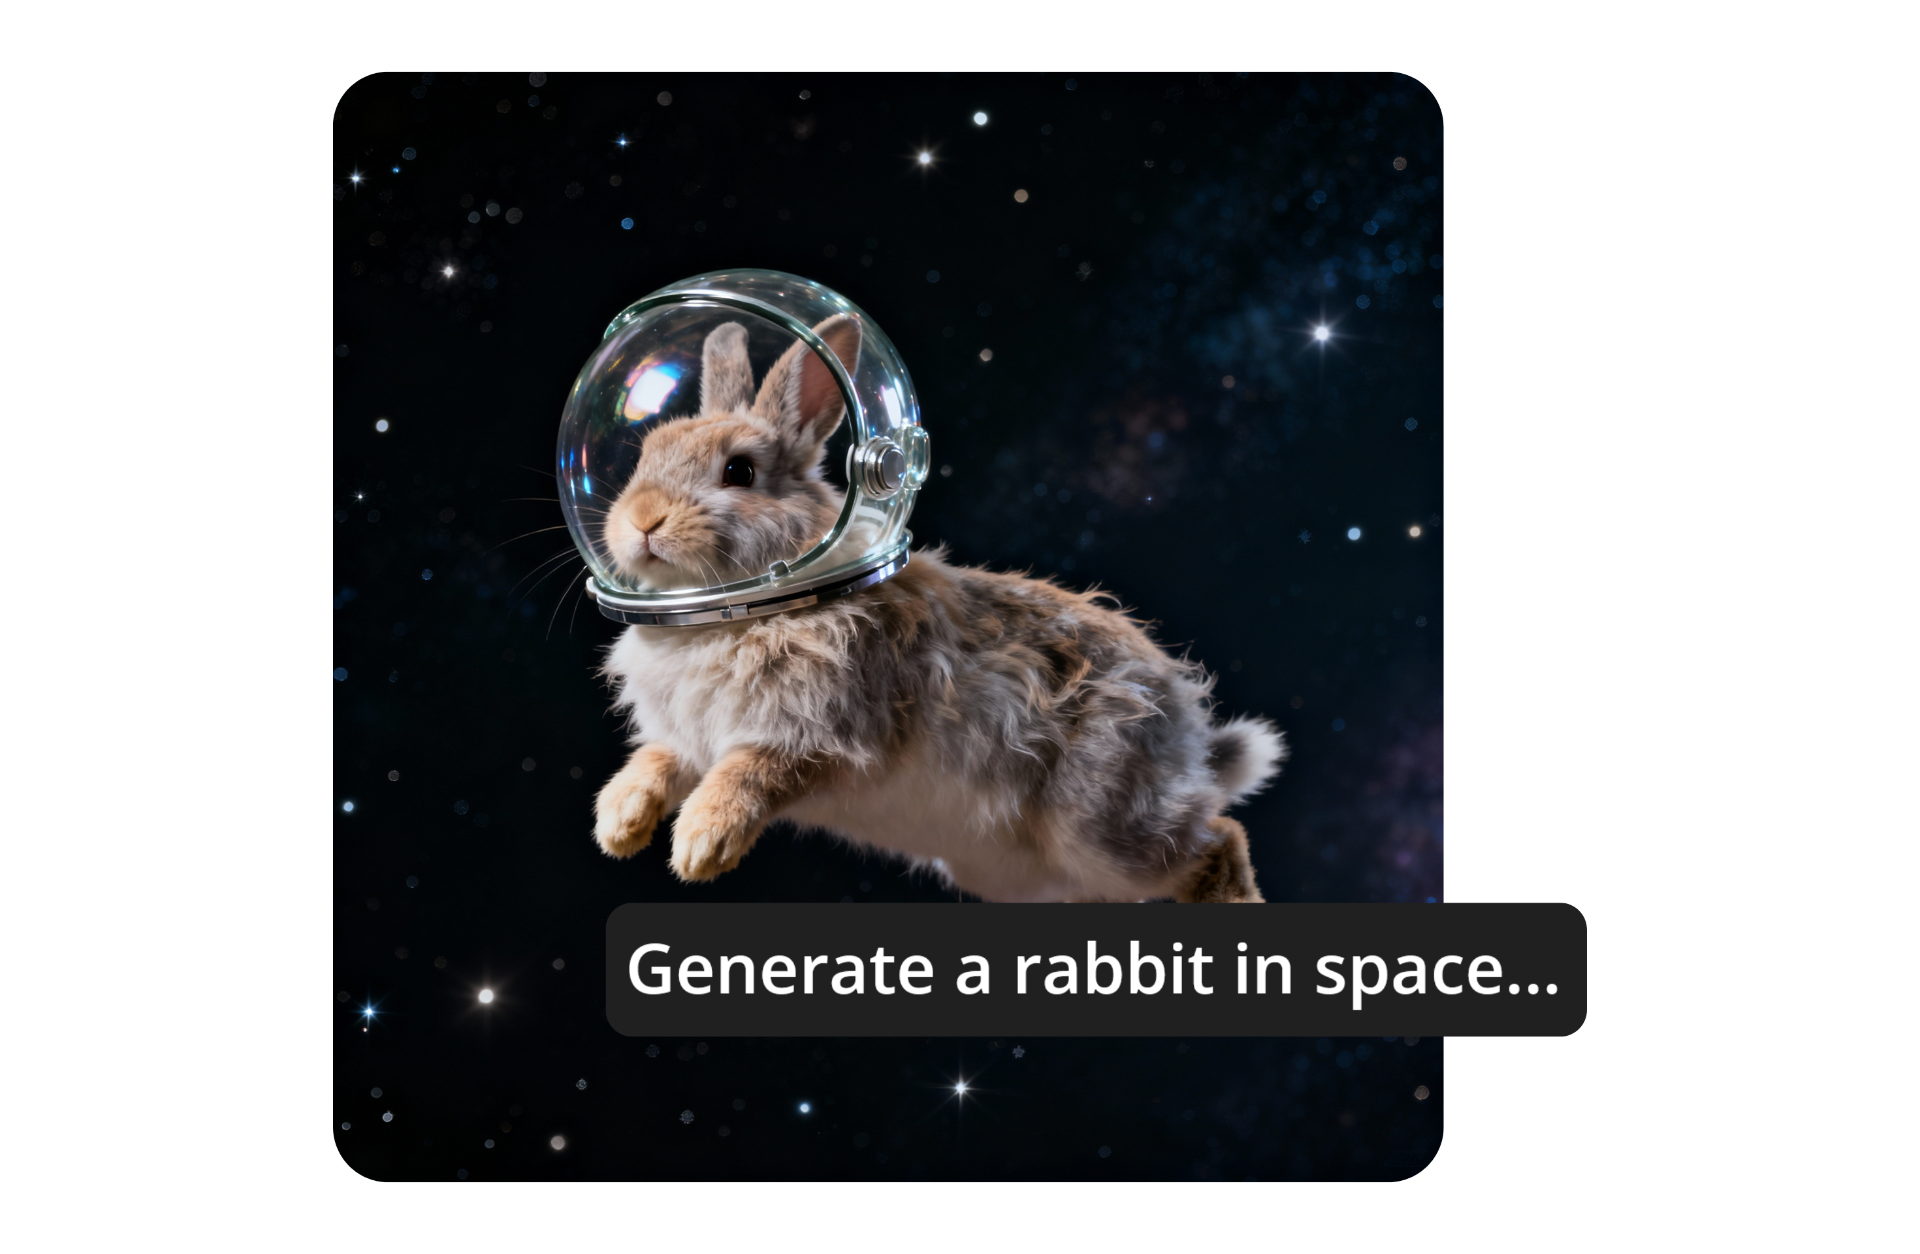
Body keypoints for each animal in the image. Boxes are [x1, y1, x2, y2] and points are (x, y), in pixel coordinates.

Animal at [591, 313, 1286, 902]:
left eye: (739, 471)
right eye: (645, 453)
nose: (641, 520)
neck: (738, 614)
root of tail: (1190, 740)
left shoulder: (817, 739)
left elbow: (750, 774)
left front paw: (700, 846)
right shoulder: (684, 739)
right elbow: (657, 761)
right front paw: (618, 825)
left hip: (1104, 825)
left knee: (1218, 842)